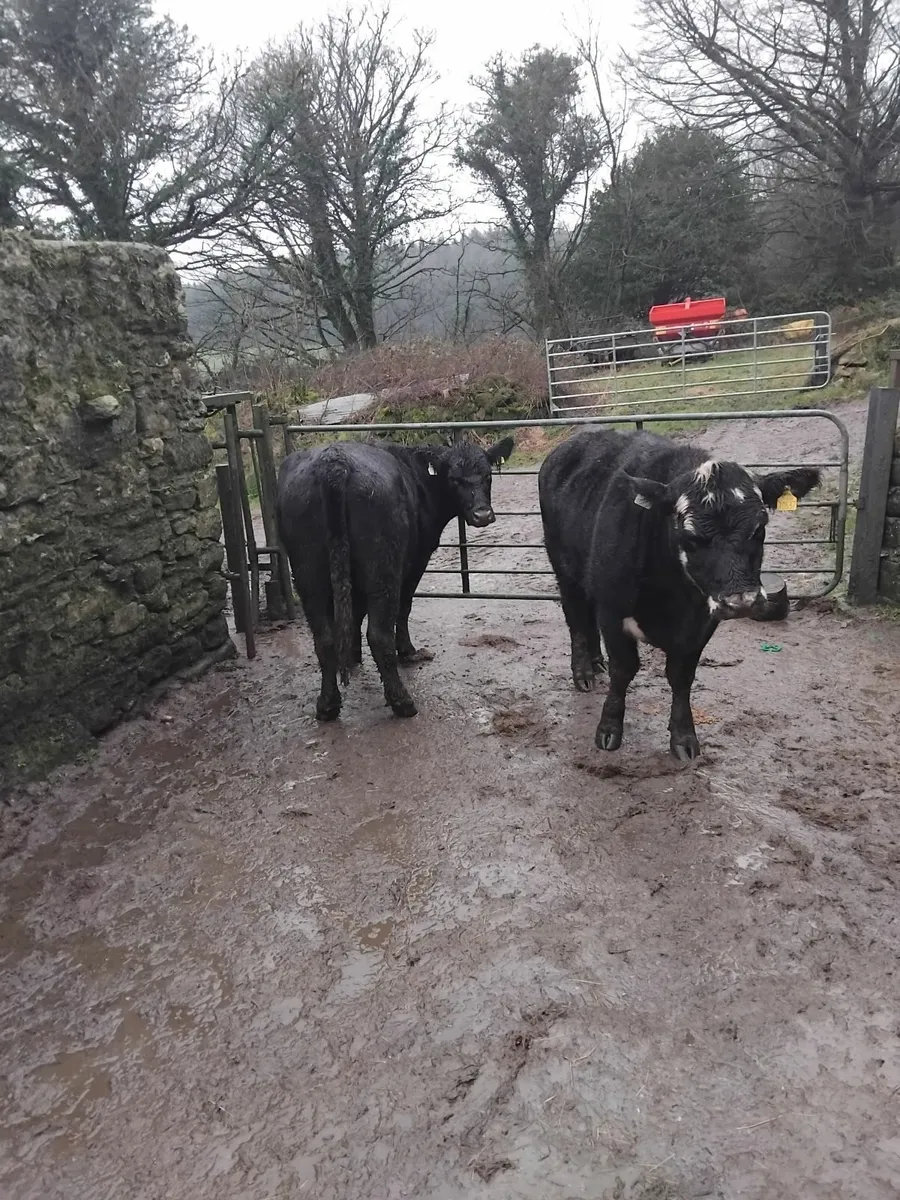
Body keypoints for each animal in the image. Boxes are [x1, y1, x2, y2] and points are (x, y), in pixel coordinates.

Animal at [276, 436, 515, 721]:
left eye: (488, 476)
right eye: (454, 479)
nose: (482, 515)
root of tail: (333, 462)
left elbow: (354, 614)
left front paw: (353, 656)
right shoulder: (416, 561)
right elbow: (404, 608)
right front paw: (408, 651)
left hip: (307, 571)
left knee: (324, 638)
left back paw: (327, 705)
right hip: (383, 567)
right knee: (379, 634)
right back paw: (402, 701)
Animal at [538, 429, 820, 759]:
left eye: (759, 529)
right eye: (690, 536)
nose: (741, 602)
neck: (671, 600)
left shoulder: (702, 623)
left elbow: (681, 676)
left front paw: (684, 737)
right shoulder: (612, 608)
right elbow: (623, 670)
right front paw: (609, 729)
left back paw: (596, 660)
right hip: (562, 565)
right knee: (576, 617)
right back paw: (583, 670)